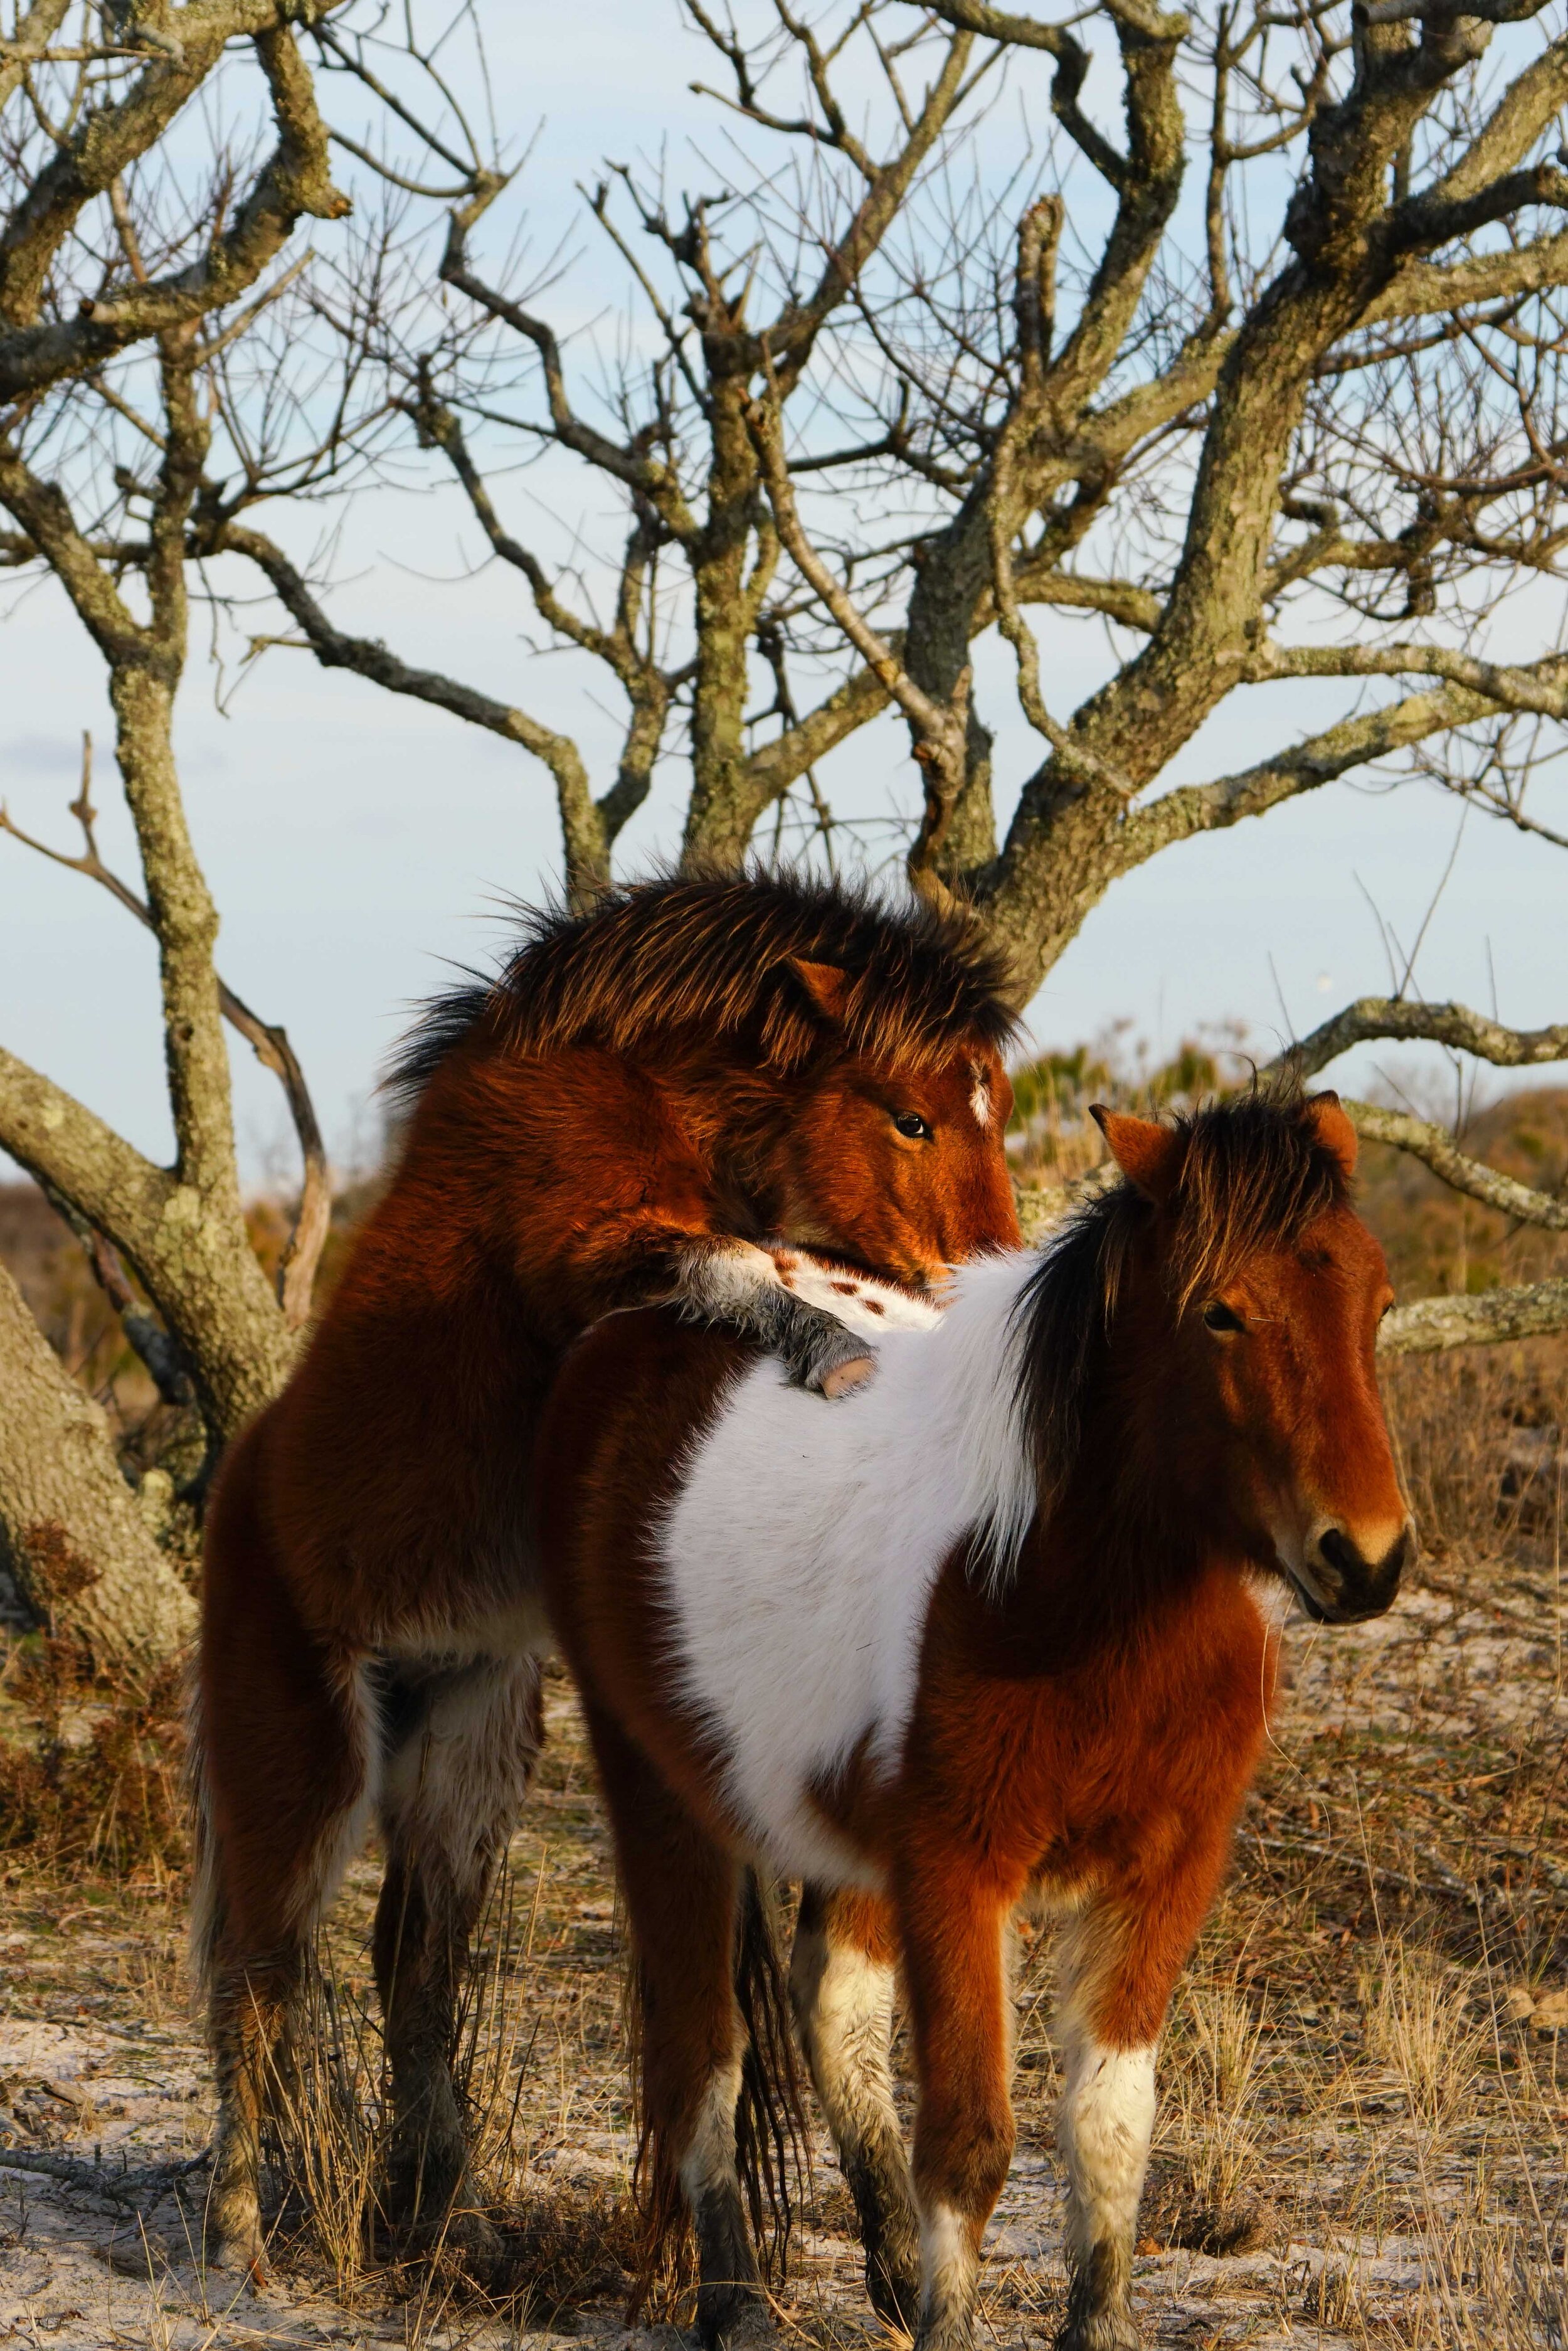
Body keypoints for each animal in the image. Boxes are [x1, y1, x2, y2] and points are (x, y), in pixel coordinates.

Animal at [193, 874, 1020, 2266]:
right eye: (910, 1116)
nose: (984, 1283)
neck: (620, 1081)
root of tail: (234, 1500)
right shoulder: (585, 1243)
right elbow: (722, 1262)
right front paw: (838, 1349)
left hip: (467, 1743)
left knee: (409, 1958)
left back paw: (429, 2202)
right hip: (306, 1769)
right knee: (262, 1975)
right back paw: (240, 2233)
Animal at [536, 1076, 1410, 2351]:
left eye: (1378, 1302)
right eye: (1220, 1315)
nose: (1368, 1560)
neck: (1053, 1585)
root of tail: (637, 1329)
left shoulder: (1162, 1877)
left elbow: (1110, 2128)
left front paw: (1095, 2325)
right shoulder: (959, 1872)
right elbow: (969, 2149)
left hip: (838, 1835)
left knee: (831, 2009)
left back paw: (890, 2271)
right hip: (659, 1794)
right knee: (703, 2055)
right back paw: (738, 2305)